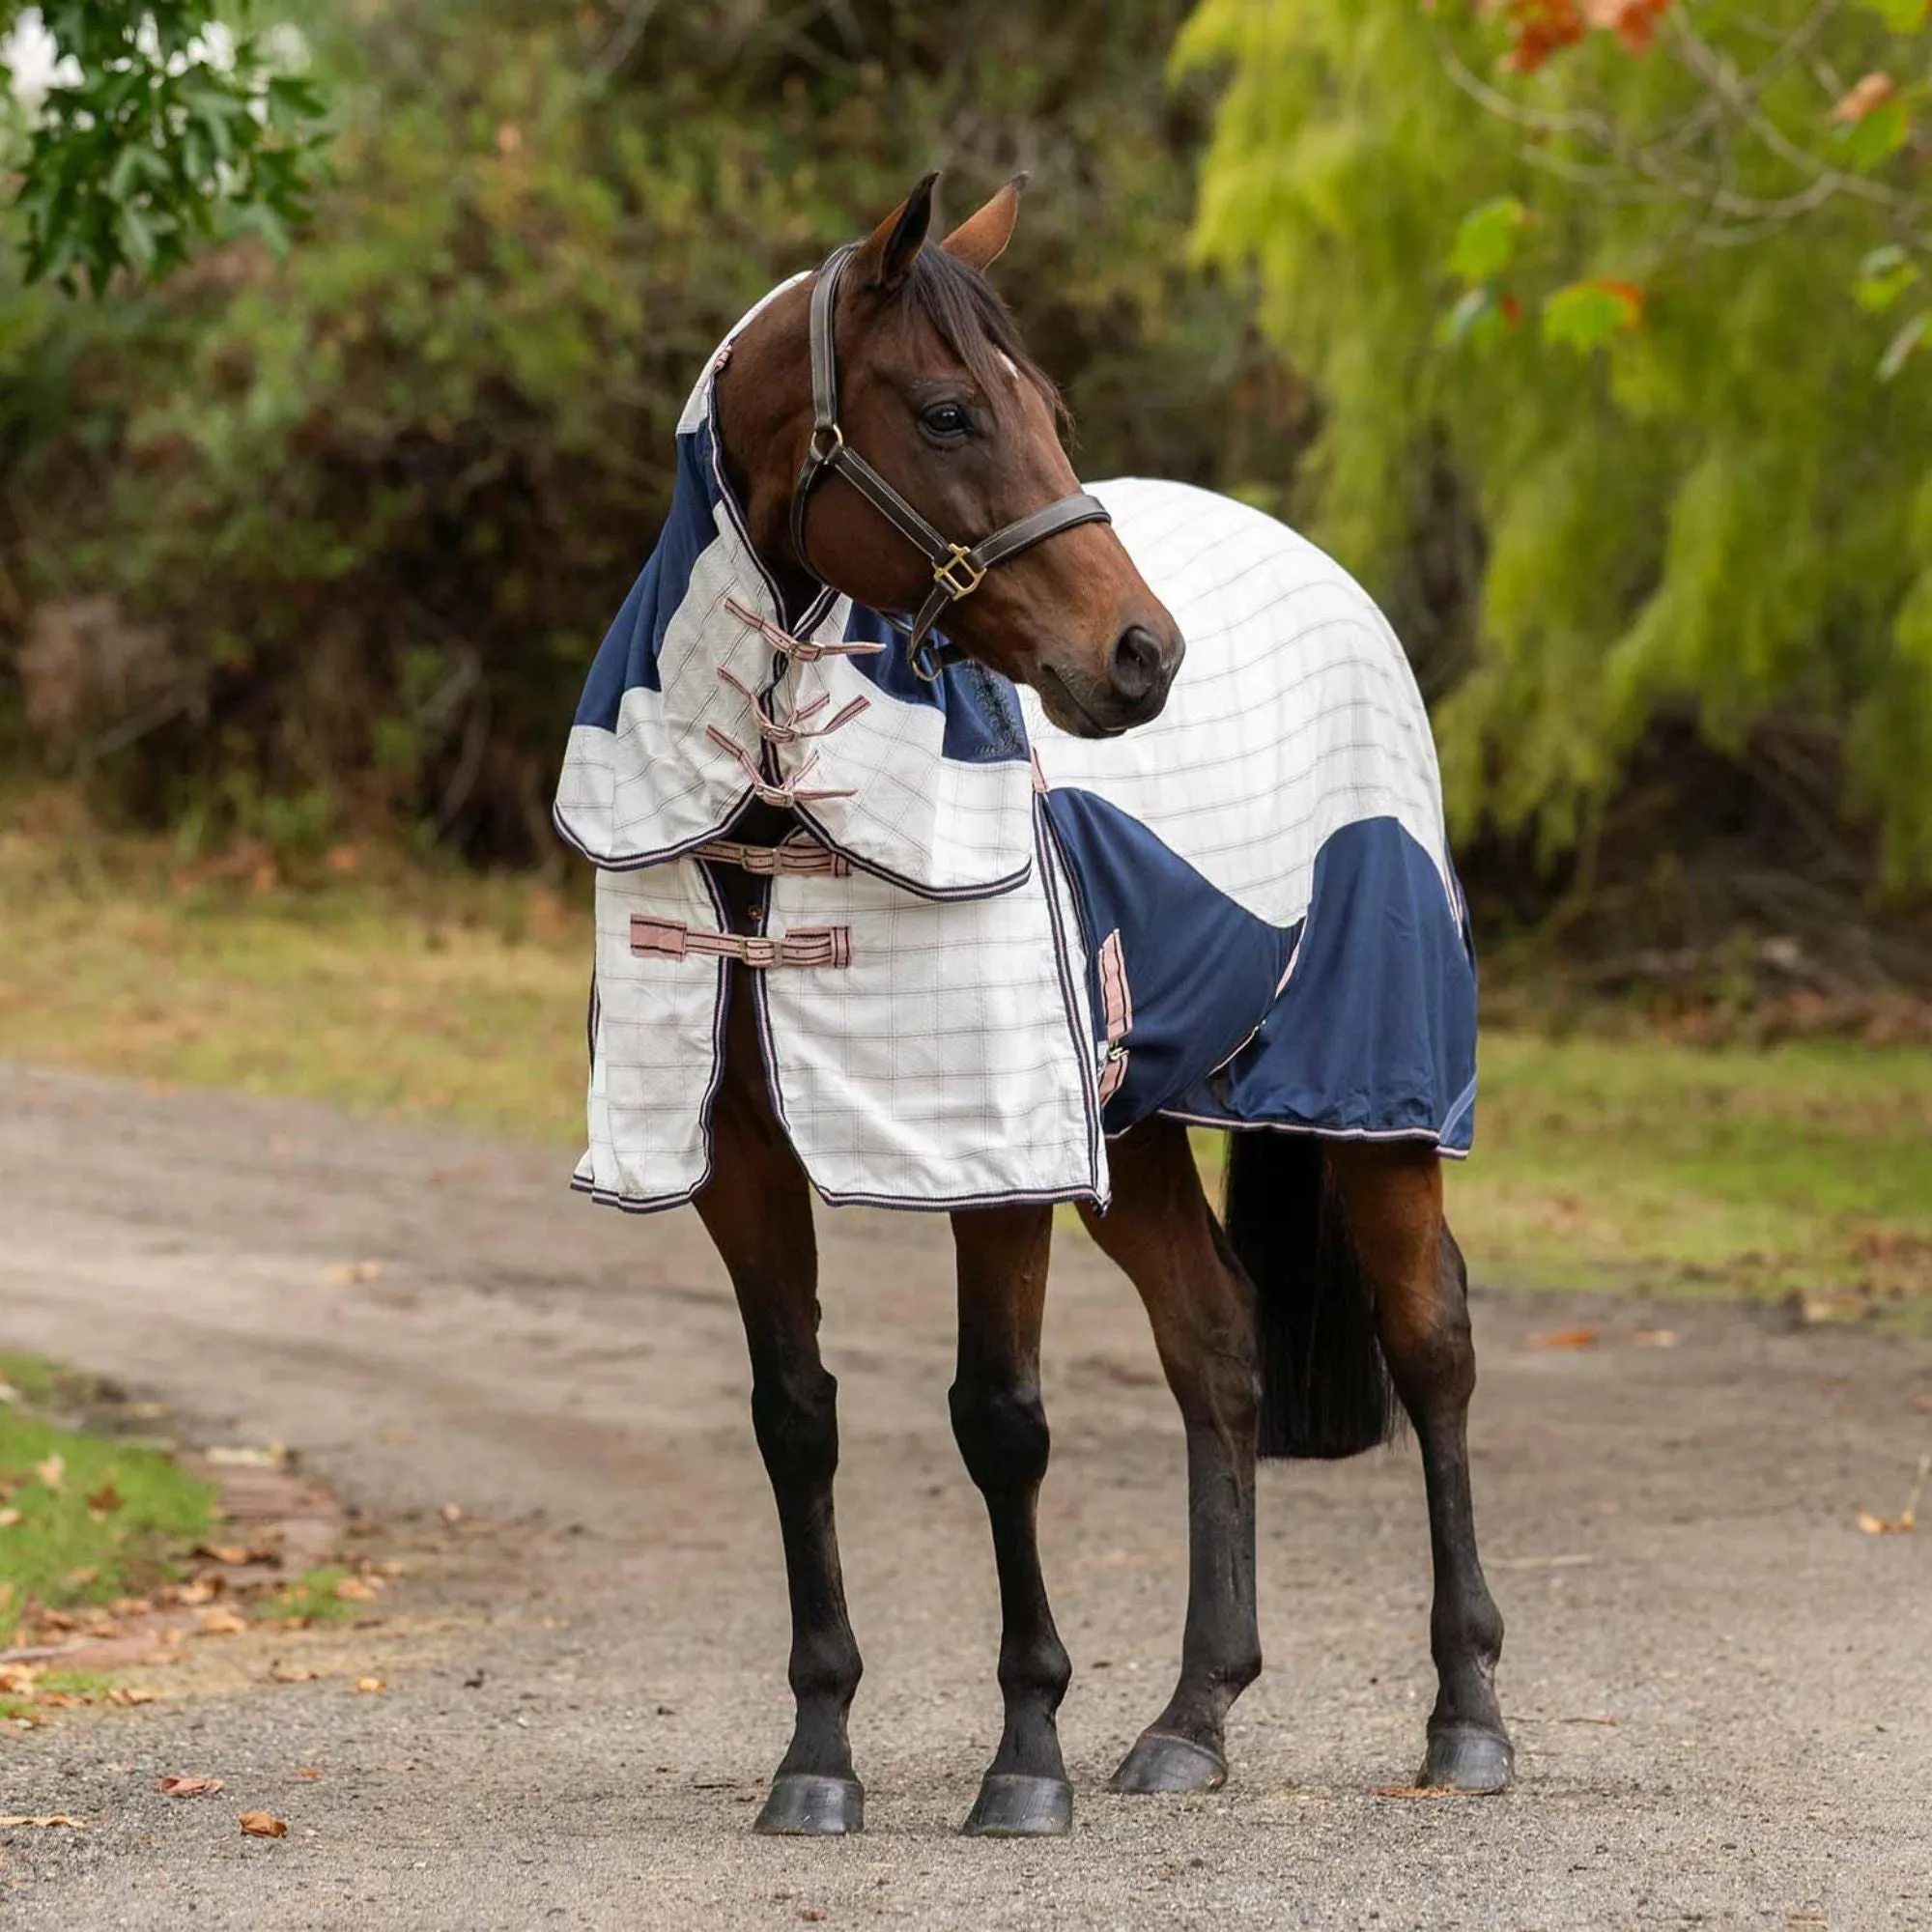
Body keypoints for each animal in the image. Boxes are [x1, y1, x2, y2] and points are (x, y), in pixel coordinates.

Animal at [560, 174, 1507, 1832]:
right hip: (1130, 1127)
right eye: (948, 411)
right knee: (1217, 1347)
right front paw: (818, 1755)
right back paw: (1192, 1719)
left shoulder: (989, 1159)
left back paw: (1466, 1718)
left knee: (1432, 1342)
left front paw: (1025, 1753)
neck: (772, 813)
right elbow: (795, 1418)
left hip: (1374, 1096)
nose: (1143, 655)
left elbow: (998, 1420)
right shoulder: (738, 1160)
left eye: (1048, 411)